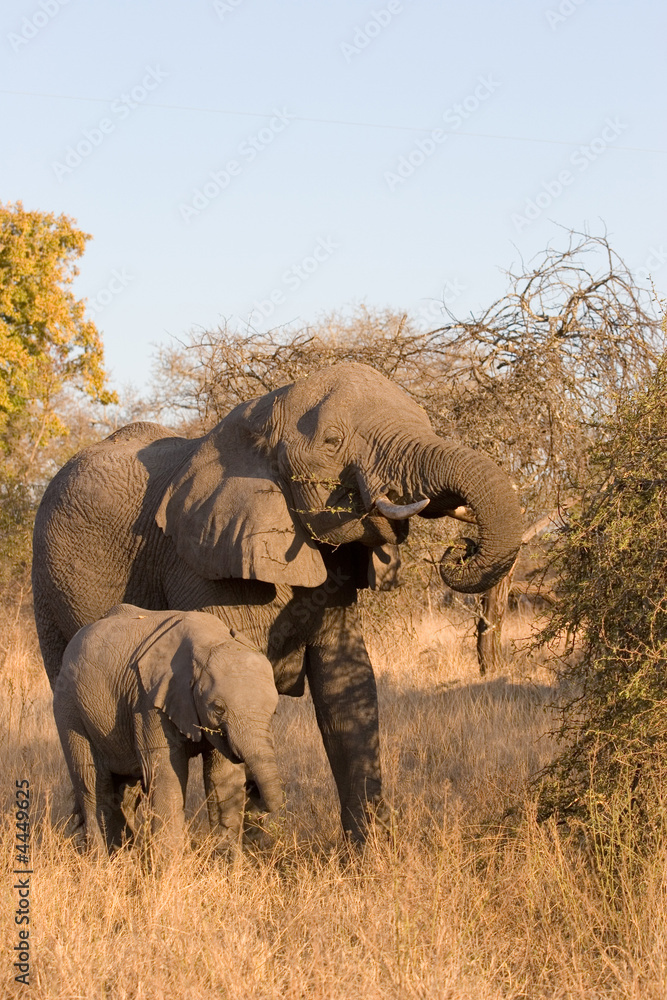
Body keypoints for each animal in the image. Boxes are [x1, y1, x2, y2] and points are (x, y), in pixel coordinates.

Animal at [53, 604, 283, 854]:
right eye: (218, 708)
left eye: (273, 710)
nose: (255, 791)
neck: (210, 641)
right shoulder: (148, 701)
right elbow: (166, 774)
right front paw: (171, 864)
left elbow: (223, 777)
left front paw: (229, 862)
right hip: (70, 709)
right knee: (92, 783)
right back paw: (103, 860)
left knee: (123, 792)